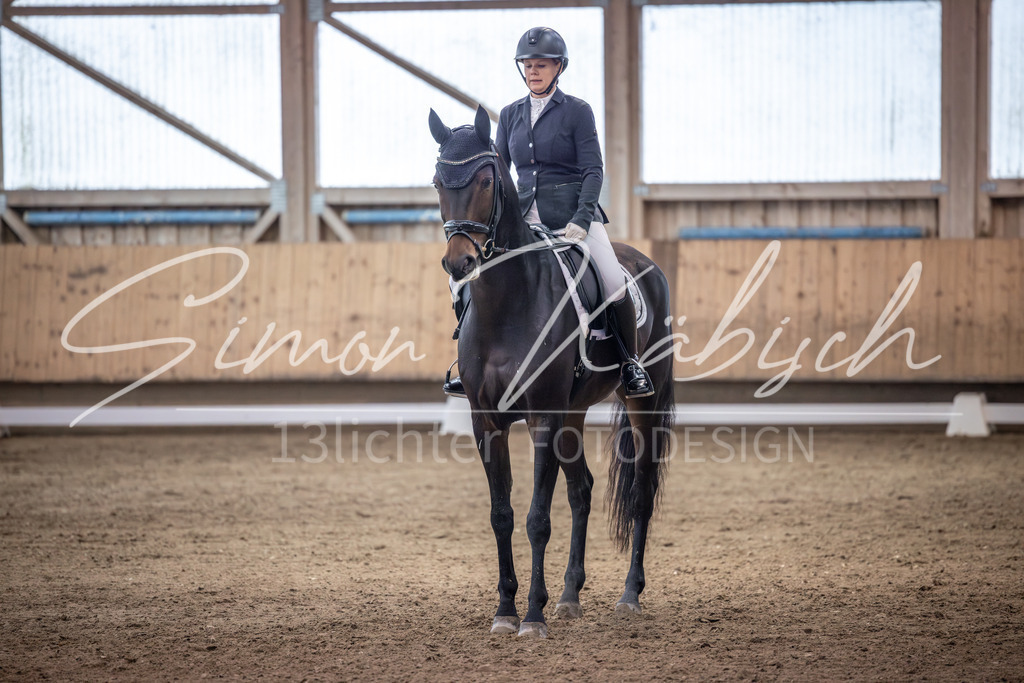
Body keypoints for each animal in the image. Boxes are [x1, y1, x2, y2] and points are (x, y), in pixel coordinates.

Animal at [429, 105, 676, 638]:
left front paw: (533, 617)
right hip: (573, 413)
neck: (507, 301)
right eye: (438, 181)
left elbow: (537, 518)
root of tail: (645, 262)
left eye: (485, 180)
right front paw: (506, 610)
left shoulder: (541, 415)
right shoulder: (487, 420)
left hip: (642, 401)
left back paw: (629, 595)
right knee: (581, 491)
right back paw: (569, 595)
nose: (459, 262)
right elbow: (502, 514)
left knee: (642, 492)